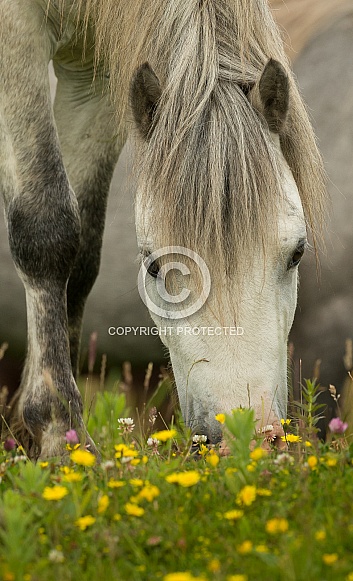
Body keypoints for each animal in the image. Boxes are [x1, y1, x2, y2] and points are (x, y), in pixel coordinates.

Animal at [0, 0, 324, 456]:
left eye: (297, 253)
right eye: (154, 266)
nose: (245, 437)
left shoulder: (91, 71)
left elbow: (80, 261)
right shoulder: (16, 30)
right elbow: (46, 229)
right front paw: (58, 433)